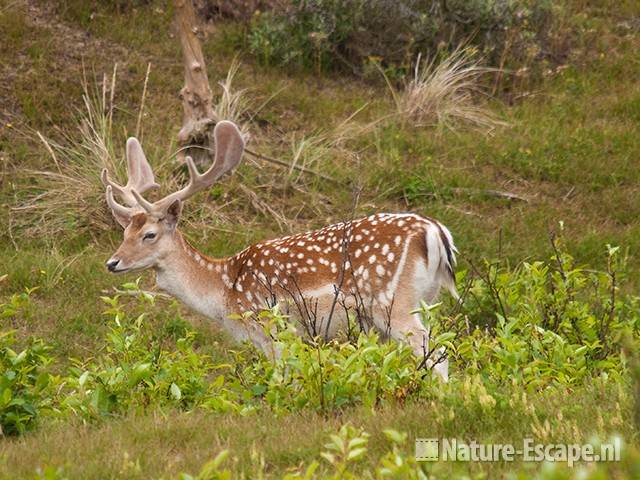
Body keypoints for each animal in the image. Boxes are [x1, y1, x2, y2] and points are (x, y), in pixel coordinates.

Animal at [102, 122, 458, 380]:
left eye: (149, 235)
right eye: (125, 231)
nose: (112, 262)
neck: (225, 294)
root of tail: (435, 232)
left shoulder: (270, 328)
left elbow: (281, 378)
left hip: (392, 302)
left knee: (437, 356)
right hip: (427, 299)